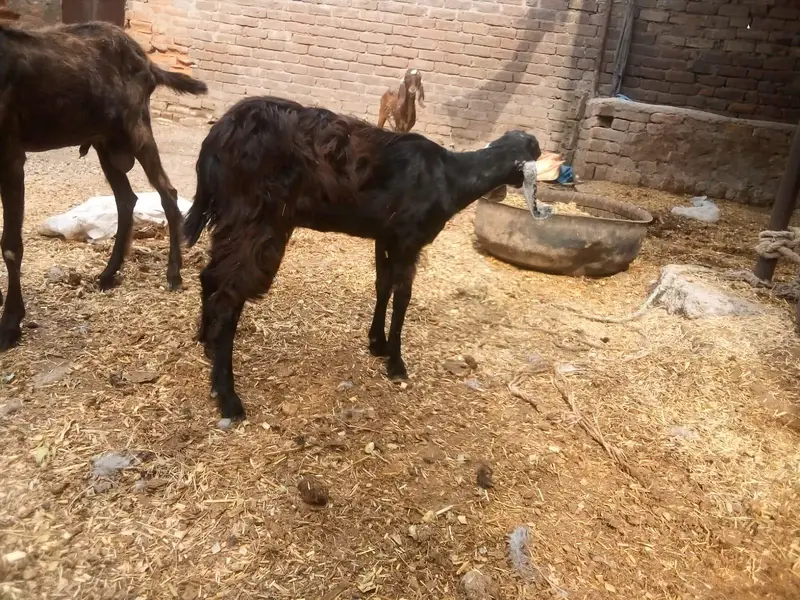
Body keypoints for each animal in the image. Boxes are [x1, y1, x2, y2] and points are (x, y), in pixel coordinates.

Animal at [0, 21, 207, 351]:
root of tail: (144, 58)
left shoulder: (11, 158)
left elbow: (9, 245)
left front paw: (10, 325)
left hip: (137, 130)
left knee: (167, 192)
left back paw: (173, 274)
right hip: (105, 143)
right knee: (126, 199)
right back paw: (110, 273)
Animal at [182, 95, 542, 421]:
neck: (451, 177)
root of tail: (214, 142)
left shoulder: (386, 236)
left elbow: (383, 285)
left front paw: (376, 343)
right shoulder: (409, 240)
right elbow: (403, 296)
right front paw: (396, 363)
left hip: (232, 219)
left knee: (210, 276)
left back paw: (207, 343)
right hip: (256, 220)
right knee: (228, 295)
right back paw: (229, 398)